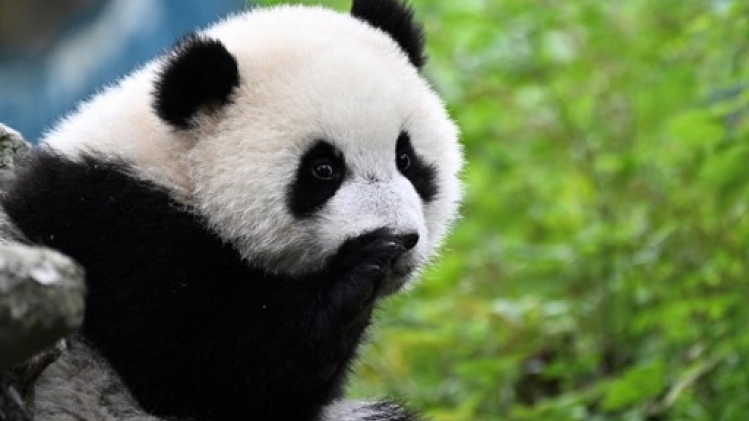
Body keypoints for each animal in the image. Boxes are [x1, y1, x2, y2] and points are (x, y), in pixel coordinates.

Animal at [1, 0, 462, 420]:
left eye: (405, 158)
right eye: (323, 169)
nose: (400, 238)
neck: (179, 169)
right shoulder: (111, 231)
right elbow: (209, 366)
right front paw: (364, 265)